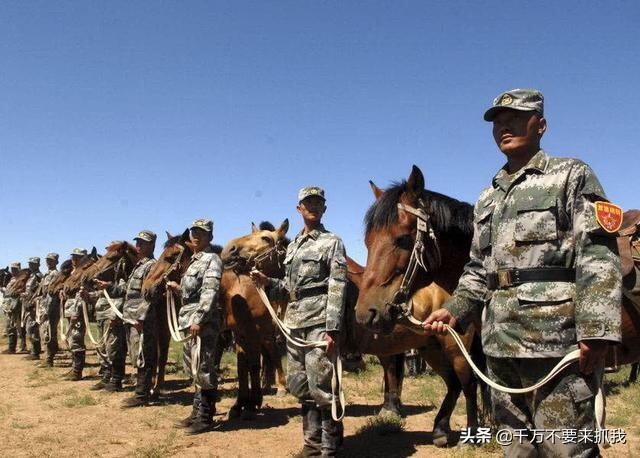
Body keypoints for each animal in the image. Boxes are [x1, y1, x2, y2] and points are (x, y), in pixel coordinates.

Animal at [220, 220, 290, 416]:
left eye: (266, 238)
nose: (228, 249)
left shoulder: (256, 333)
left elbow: (253, 364)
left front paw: (252, 403)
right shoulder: (241, 335)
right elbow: (242, 366)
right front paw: (240, 403)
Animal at [356, 165, 484, 448]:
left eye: (404, 239)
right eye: (367, 242)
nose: (365, 314)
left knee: (468, 383)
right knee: (456, 384)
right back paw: (441, 429)